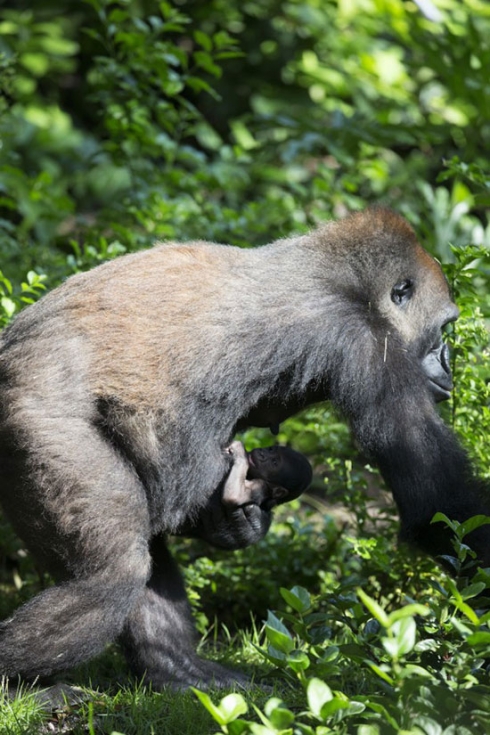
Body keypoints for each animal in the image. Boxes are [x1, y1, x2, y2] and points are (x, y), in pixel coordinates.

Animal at [178, 440, 312, 548]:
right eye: (271, 449)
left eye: (274, 463)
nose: (262, 454)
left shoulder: (260, 486)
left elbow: (234, 496)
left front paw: (240, 452)